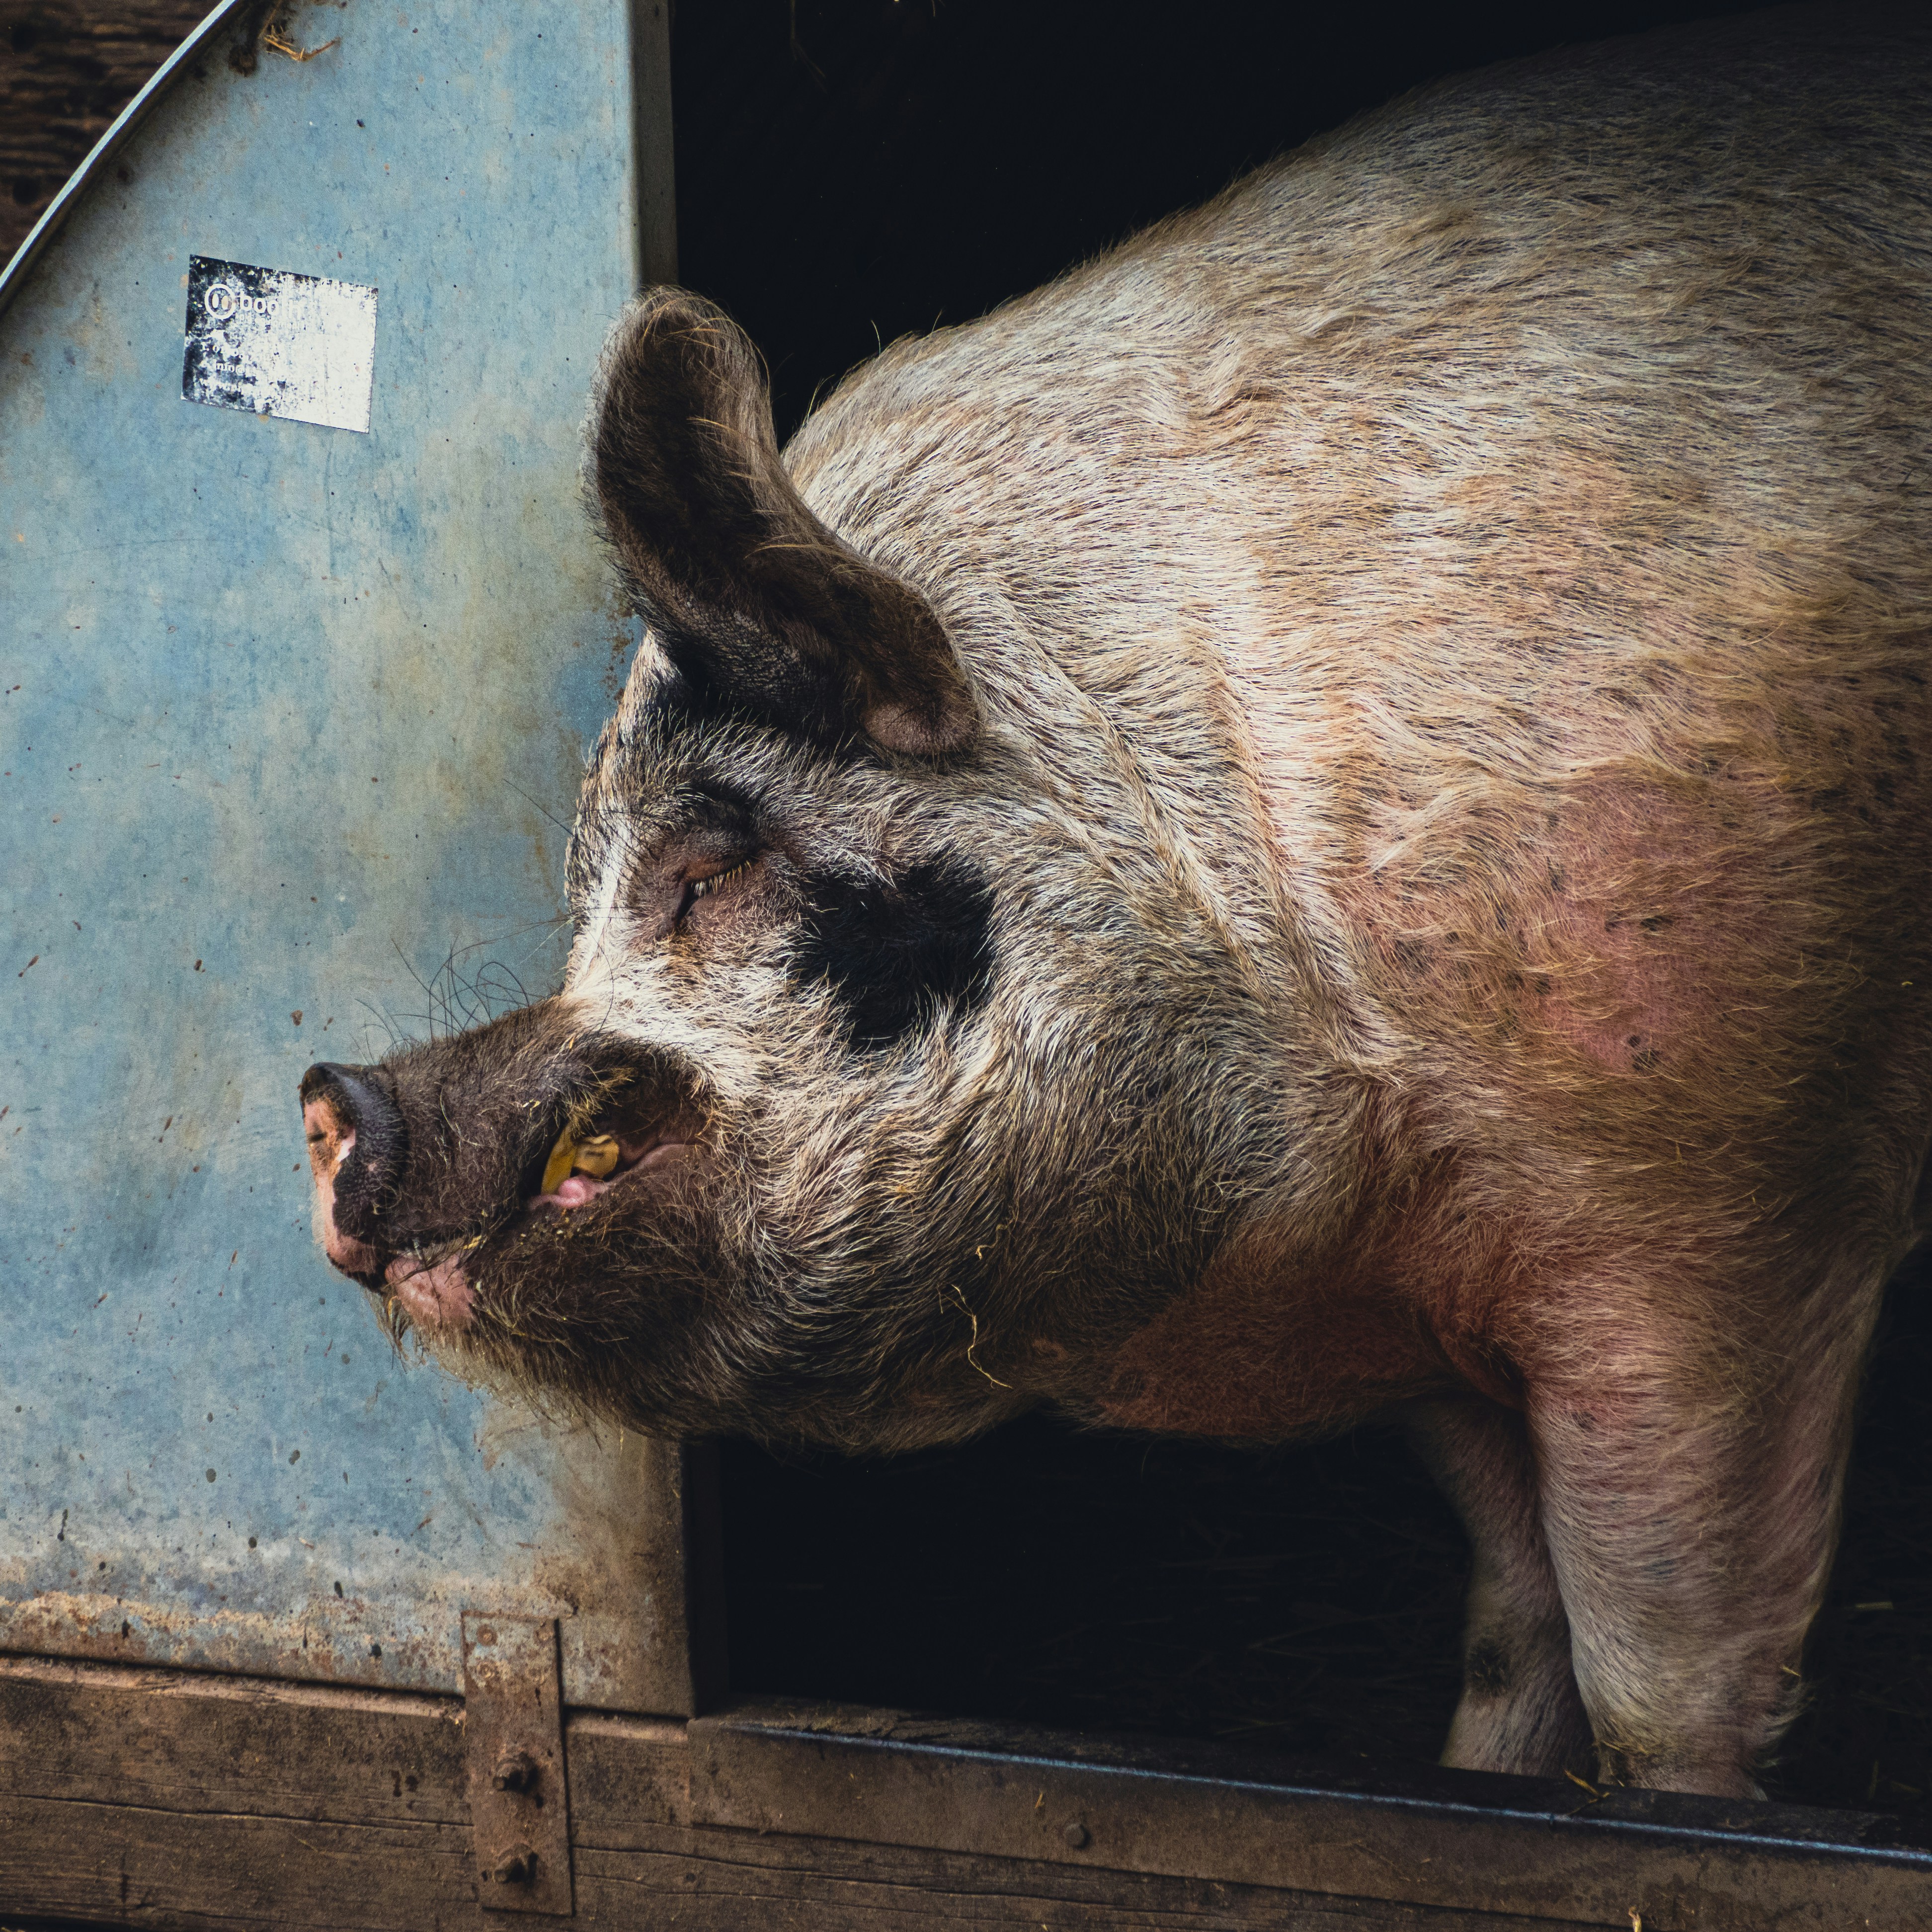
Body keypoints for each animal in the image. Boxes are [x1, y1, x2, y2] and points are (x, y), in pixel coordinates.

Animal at [301, 7, 1932, 1800]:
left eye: (711, 861)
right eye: (586, 892)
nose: (341, 1094)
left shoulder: (1708, 1201)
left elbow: (1660, 1688)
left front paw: (1672, 1821)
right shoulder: (1452, 1315)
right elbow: (1515, 1628)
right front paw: (1480, 1779)